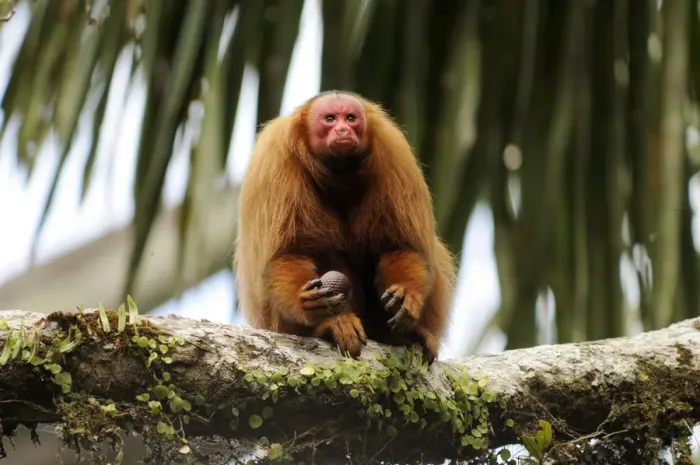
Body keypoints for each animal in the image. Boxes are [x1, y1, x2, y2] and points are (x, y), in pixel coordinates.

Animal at [233, 90, 456, 363]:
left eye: (350, 118)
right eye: (330, 119)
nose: (343, 130)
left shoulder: (393, 151)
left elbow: (399, 247)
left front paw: (407, 295)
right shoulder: (276, 160)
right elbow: (286, 255)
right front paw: (312, 308)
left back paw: (407, 335)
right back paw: (330, 326)